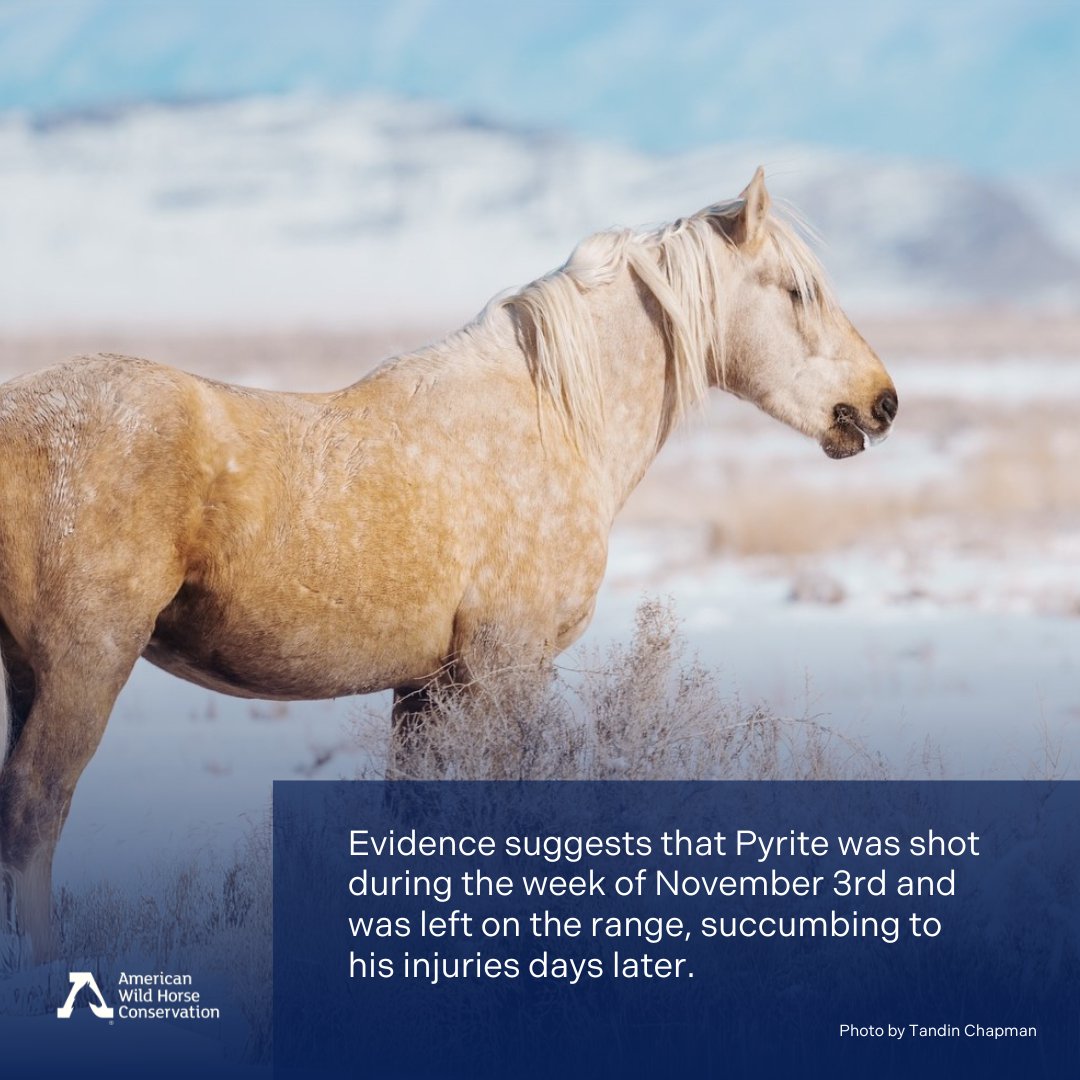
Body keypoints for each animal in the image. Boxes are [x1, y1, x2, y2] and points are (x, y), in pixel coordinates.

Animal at [0, 168, 896, 961]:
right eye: (796, 290)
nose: (882, 403)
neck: (550, 422)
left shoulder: (427, 688)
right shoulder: (509, 666)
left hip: (30, 674)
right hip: (84, 667)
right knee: (35, 811)